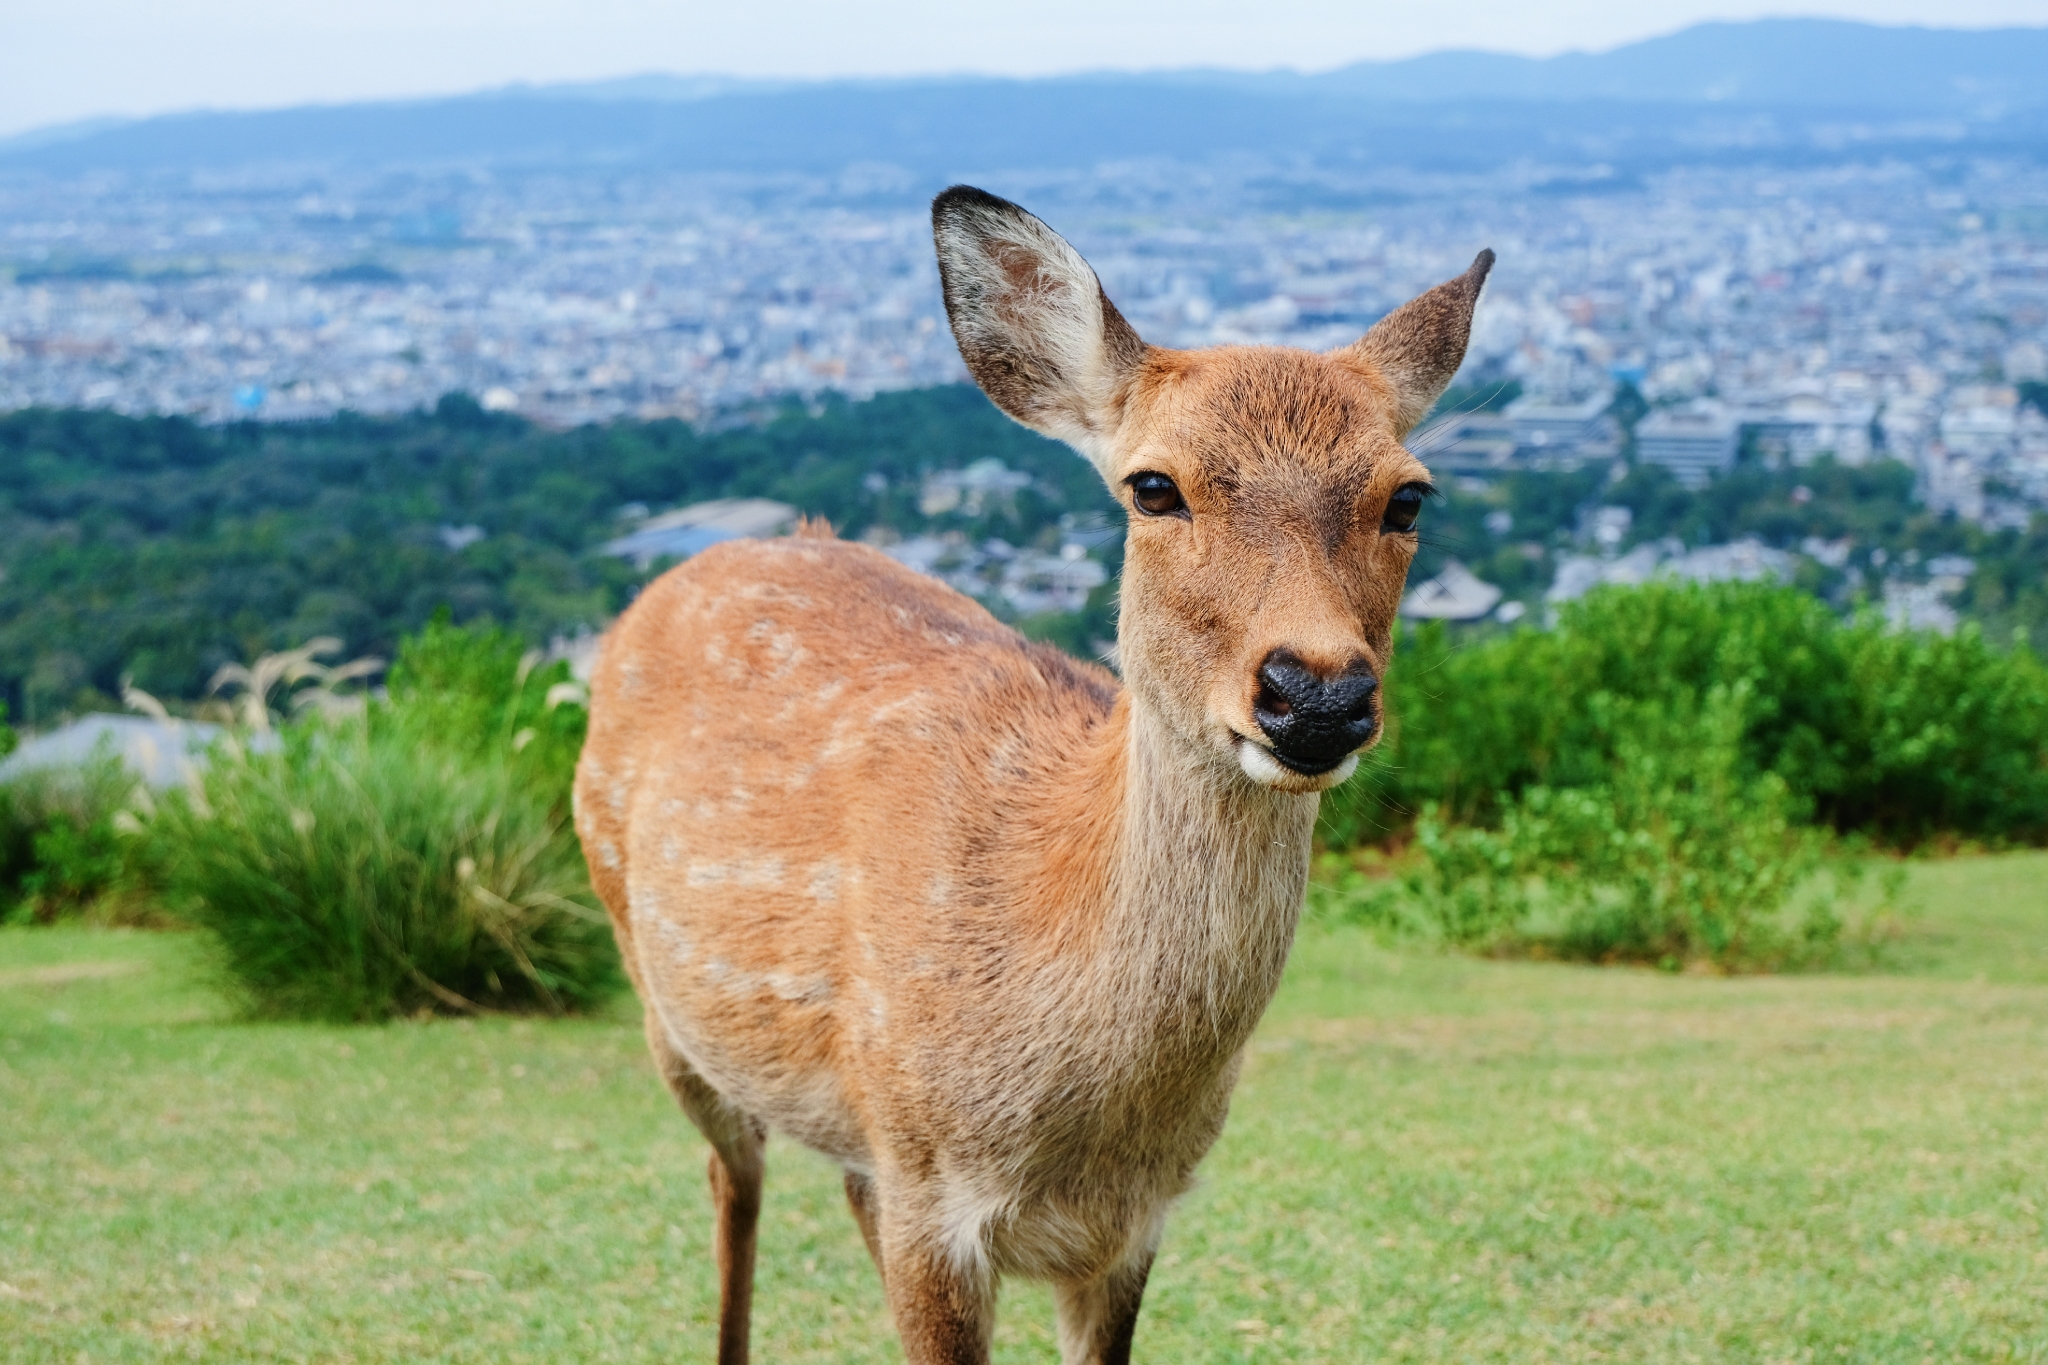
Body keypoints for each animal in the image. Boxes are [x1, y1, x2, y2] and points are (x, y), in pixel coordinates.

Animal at [577, 184, 1490, 1365]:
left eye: (1407, 498)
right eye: (1153, 487)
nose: (1317, 694)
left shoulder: (1133, 1223)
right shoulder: (931, 1193)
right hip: (661, 995)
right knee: (732, 1181)